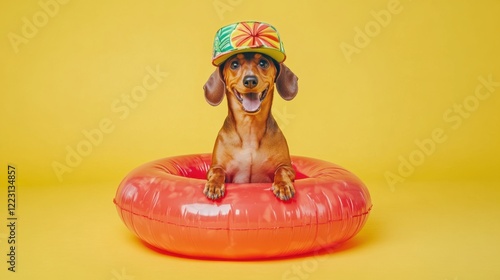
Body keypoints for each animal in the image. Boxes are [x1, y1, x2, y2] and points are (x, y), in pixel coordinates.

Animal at [202, 52, 296, 201]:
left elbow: (281, 171)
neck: (249, 129)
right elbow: (218, 171)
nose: (250, 80)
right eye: (234, 64)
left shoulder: (287, 167)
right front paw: (214, 185)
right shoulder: (214, 167)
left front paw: (283, 186)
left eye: (263, 63)